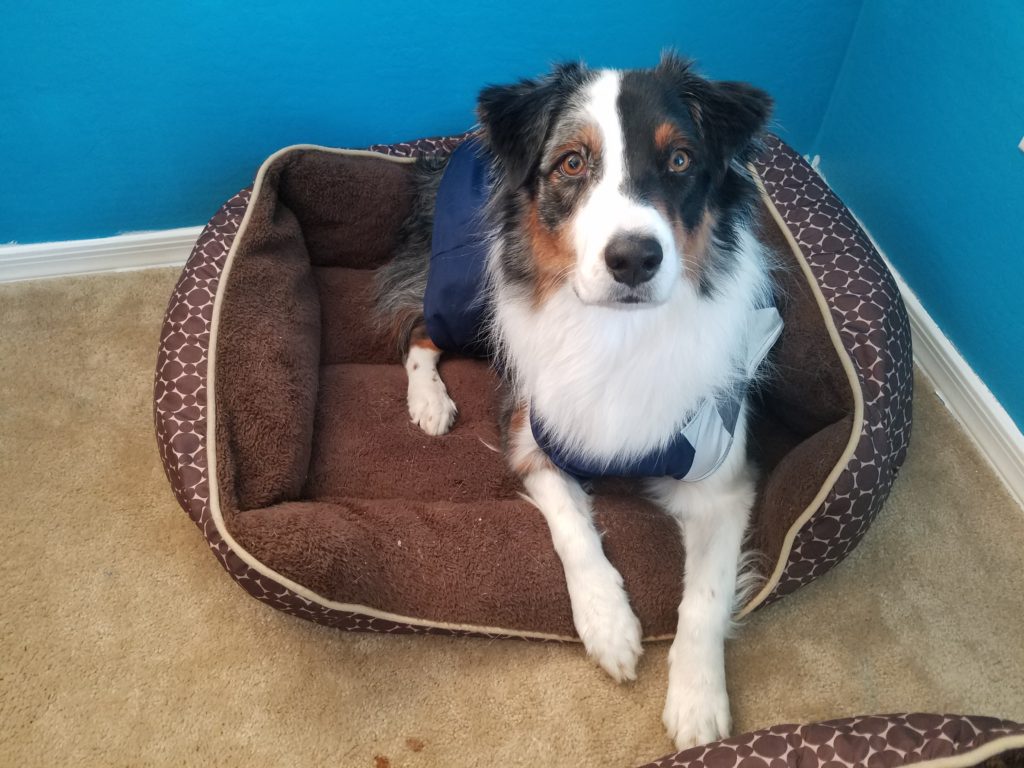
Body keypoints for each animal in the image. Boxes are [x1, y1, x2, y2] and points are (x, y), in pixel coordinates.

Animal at [372, 55, 778, 753]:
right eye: (570, 163)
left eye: (680, 160)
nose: (635, 259)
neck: (618, 332)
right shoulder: (531, 432)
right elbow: (573, 529)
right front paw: (608, 624)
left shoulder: (721, 478)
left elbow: (706, 594)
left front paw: (698, 701)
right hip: (460, 289)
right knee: (416, 328)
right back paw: (429, 402)